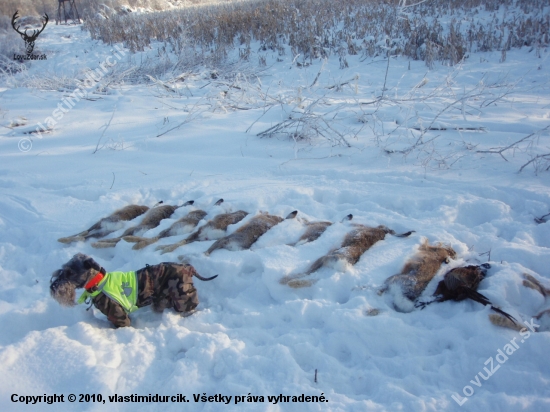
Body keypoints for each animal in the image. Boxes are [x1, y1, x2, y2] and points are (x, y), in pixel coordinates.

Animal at [49, 251, 218, 328]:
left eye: (69, 272)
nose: (53, 286)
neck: (98, 283)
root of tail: (188, 267)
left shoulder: (118, 315)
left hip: (183, 297)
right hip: (165, 299)